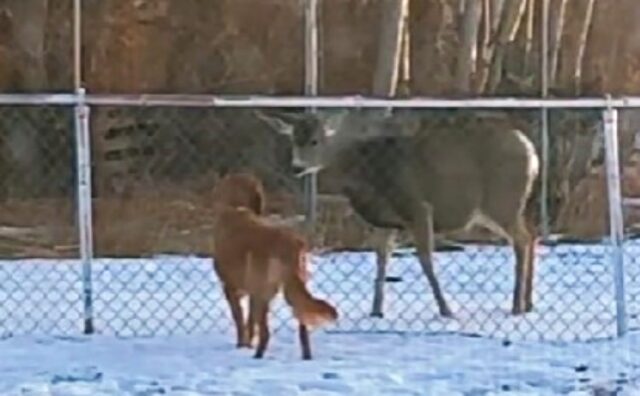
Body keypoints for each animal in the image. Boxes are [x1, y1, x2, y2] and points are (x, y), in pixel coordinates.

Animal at [211, 172, 340, 358]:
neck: (237, 208)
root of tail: (290, 243)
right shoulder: (251, 292)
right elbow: (250, 324)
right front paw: (247, 344)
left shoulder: (231, 288)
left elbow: (240, 322)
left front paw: (241, 346)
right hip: (292, 288)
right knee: (303, 330)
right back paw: (306, 357)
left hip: (264, 293)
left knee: (266, 333)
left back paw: (257, 357)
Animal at [256, 109, 540, 318]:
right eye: (293, 139)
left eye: (315, 140)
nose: (296, 167)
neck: (365, 173)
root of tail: (530, 150)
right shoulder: (385, 221)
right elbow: (381, 259)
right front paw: (376, 310)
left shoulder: (418, 207)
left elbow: (425, 259)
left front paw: (445, 309)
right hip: (499, 208)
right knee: (531, 236)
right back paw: (527, 303)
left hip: (502, 201)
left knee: (522, 240)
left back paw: (517, 305)